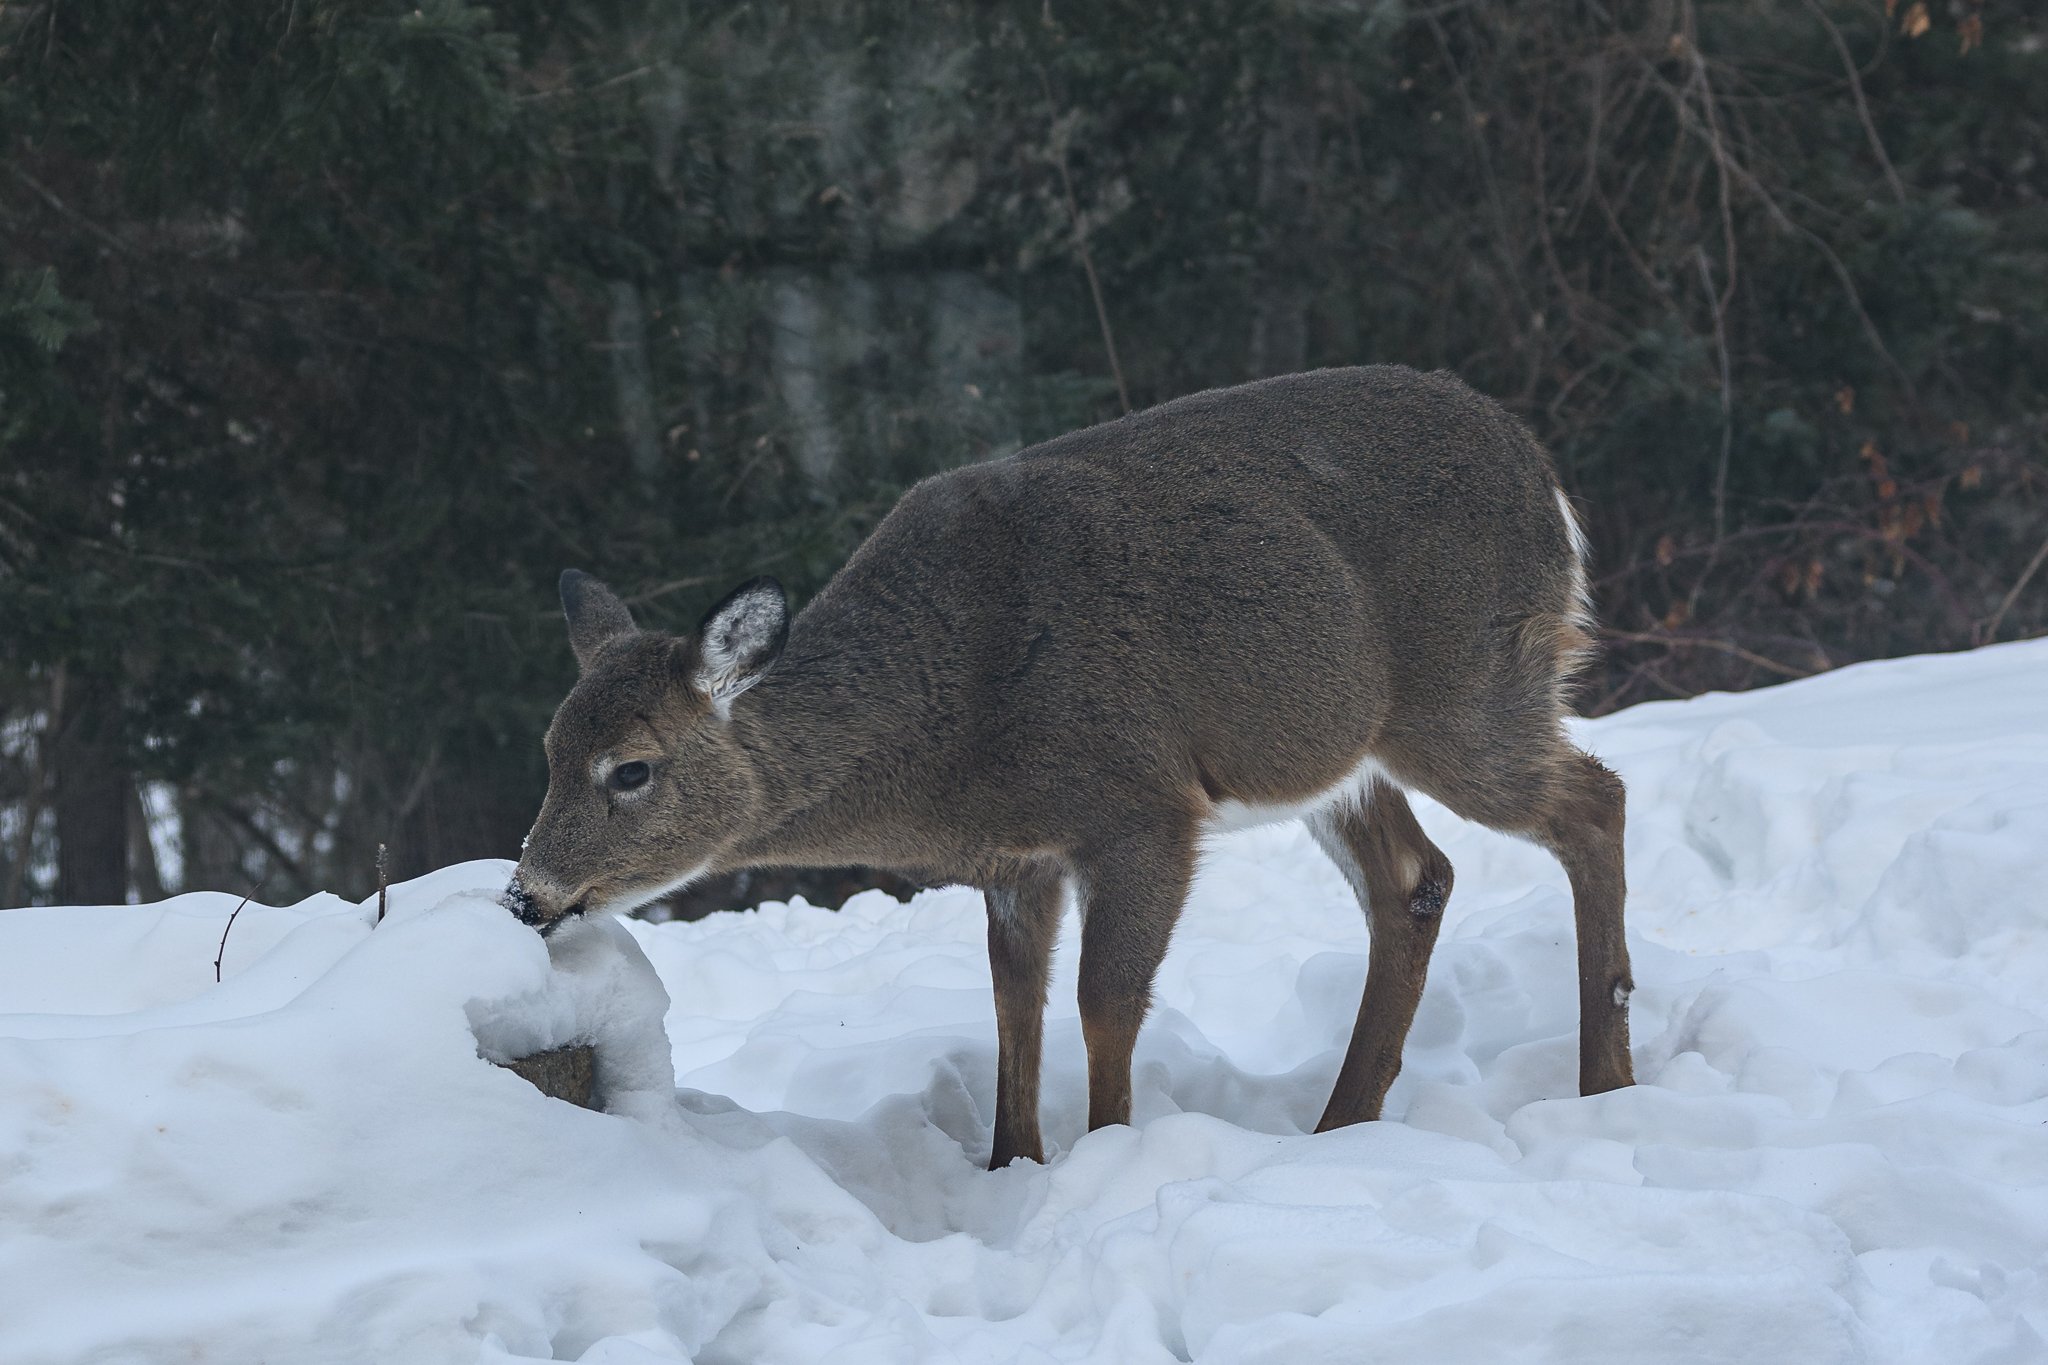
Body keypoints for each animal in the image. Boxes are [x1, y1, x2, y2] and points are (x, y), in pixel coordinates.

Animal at [504, 365, 1636, 1169]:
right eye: (549, 751)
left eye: (631, 769)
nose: (525, 894)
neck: (952, 725)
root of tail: (1552, 489)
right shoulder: (1019, 859)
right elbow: (1016, 1003)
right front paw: (1013, 1163)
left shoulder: (1140, 806)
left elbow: (1104, 1000)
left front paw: (1106, 1158)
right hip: (1338, 754)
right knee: (1415, 879)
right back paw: (1341, 1127)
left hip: (1465, 695)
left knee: (1596, 799)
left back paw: (1606, 1085)